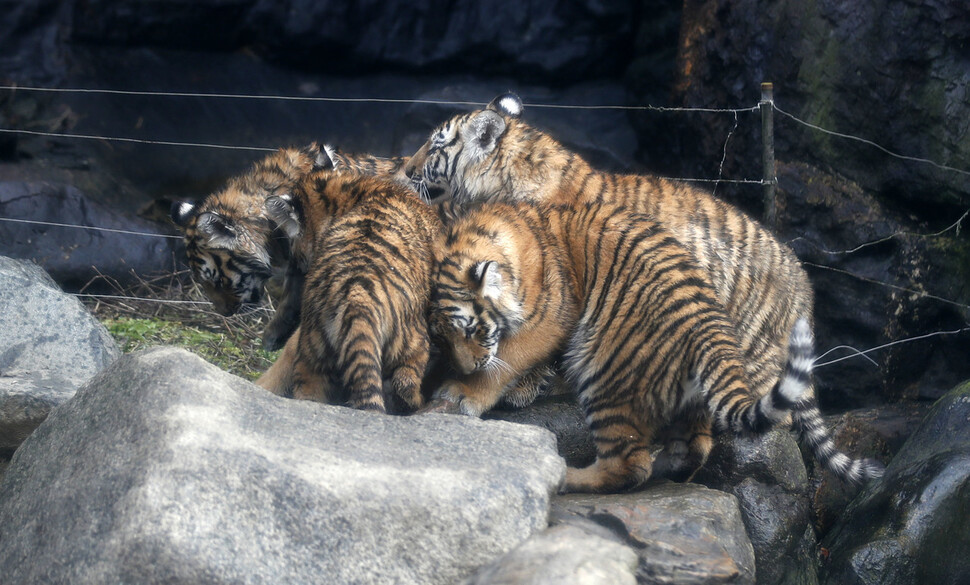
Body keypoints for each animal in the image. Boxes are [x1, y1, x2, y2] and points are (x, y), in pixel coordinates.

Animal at [428, 198, 880, 490]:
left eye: (472, 330)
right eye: (443, 337)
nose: (466, 366)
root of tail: (708, 325)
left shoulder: (551, 319)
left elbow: (508, 359)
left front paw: (463, 393)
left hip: (602, 374)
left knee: (628, 465)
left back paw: (566, 476)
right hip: (689, 397)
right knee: (695, 445)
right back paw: (673, 467)